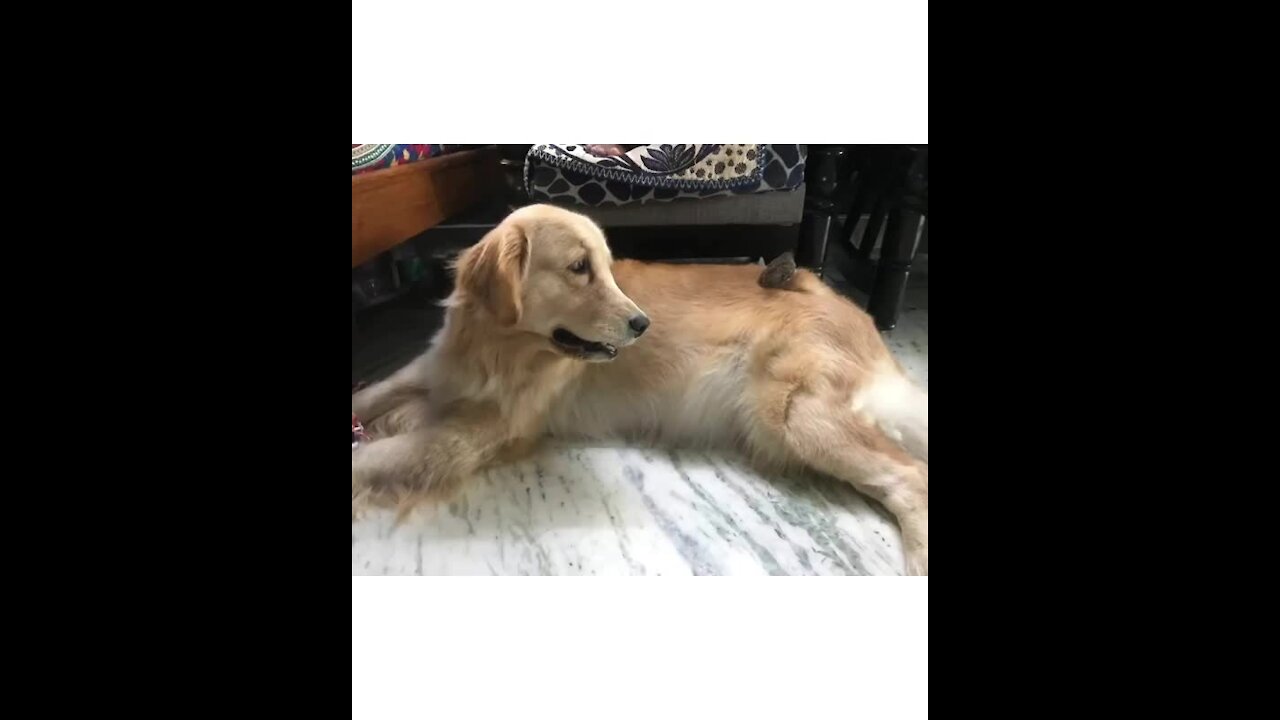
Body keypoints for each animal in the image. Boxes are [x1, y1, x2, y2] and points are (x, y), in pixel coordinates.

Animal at [353, 202, 931, 571]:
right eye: (579, 268)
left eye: (608, 269)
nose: (642, 324)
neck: (499, 348)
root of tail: (851, 310)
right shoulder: (430, 369)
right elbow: (370, 395)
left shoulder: (472, 434)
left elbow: (371, 457)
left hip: (795, 414)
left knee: (911, 476)